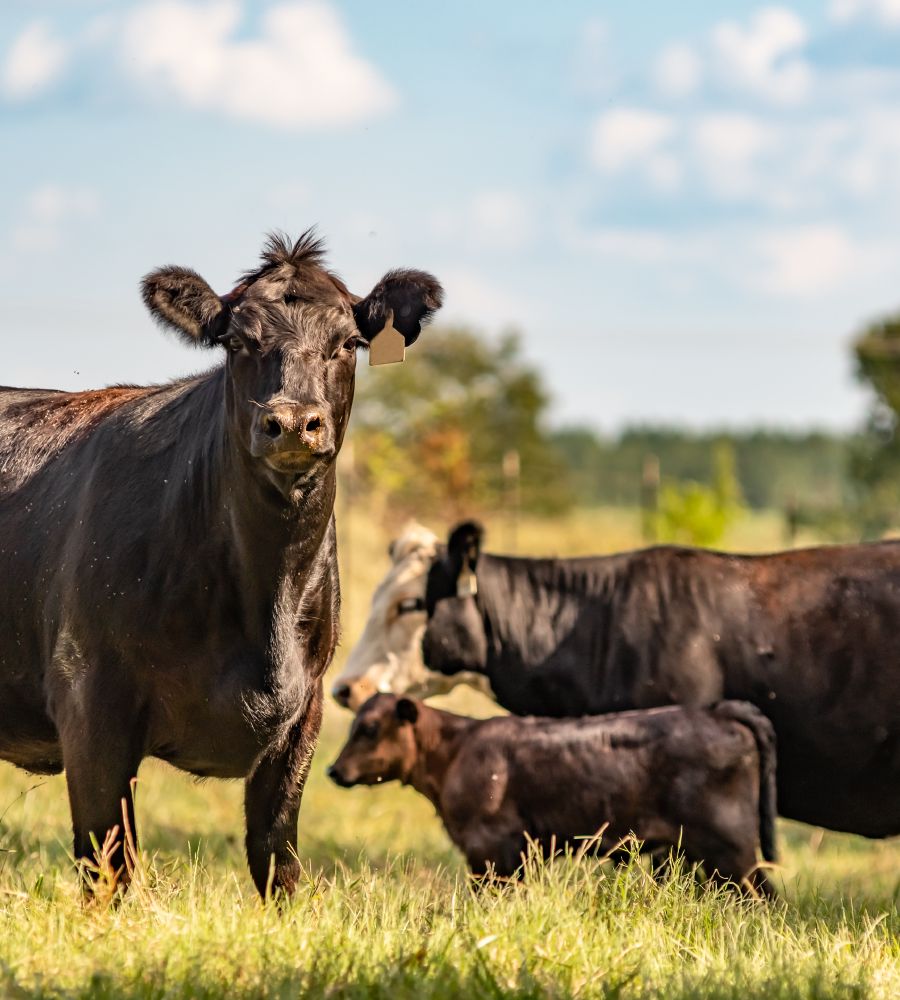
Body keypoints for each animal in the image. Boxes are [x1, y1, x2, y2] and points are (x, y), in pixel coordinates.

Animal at [0, 231, 442, 898]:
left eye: (348, 342)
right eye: (237, 342)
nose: (293, 422)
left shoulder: (303, 716)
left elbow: (278, 861)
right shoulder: (89, 704)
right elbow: (111, 867)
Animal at [327, 693, 777, 894]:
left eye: (369, 728)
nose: (333, 770)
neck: (456, 749)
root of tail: (716, 710)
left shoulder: (491, 850)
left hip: (730, 850)